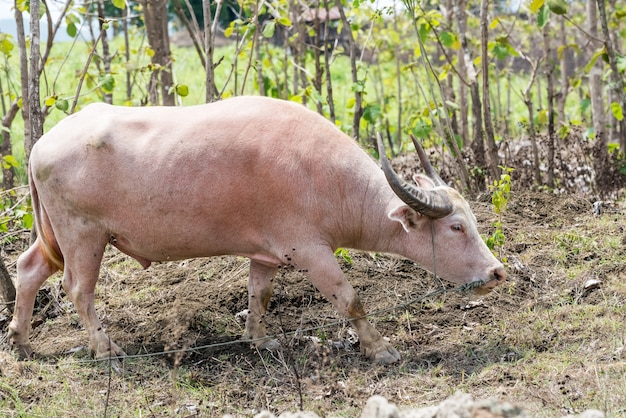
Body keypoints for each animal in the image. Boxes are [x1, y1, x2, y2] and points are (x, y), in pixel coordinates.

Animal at [7, 96, 502, 364]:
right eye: (457, 227)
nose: (497, 273)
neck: (323, 177)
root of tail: (42, 144)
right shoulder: (311, 251)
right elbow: (350, 300)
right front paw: (380, 350)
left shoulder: (266, 255)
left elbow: (258, 296)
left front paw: (259, 340)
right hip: (82, 235)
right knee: (78, 289)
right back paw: (105, 348)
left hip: (54, 235)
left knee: (28, 268)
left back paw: (20, 340)